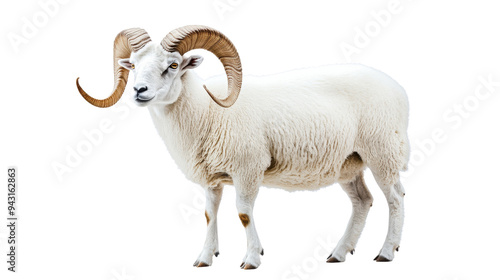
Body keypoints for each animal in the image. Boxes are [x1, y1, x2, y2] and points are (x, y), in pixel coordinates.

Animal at [76, 25, 408, 270]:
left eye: (172, 65)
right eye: (133, 65)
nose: (138, 90)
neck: (208, 111)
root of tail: (399, 90)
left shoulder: (248, 169)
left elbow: (243, 213)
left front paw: (251, 259)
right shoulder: (211, 179)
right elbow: (209, 214)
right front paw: (204, 259)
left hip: (383, 153)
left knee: (395, 198)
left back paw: (386, 252)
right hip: (349, 163)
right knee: (363, 201)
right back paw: (338, 253)